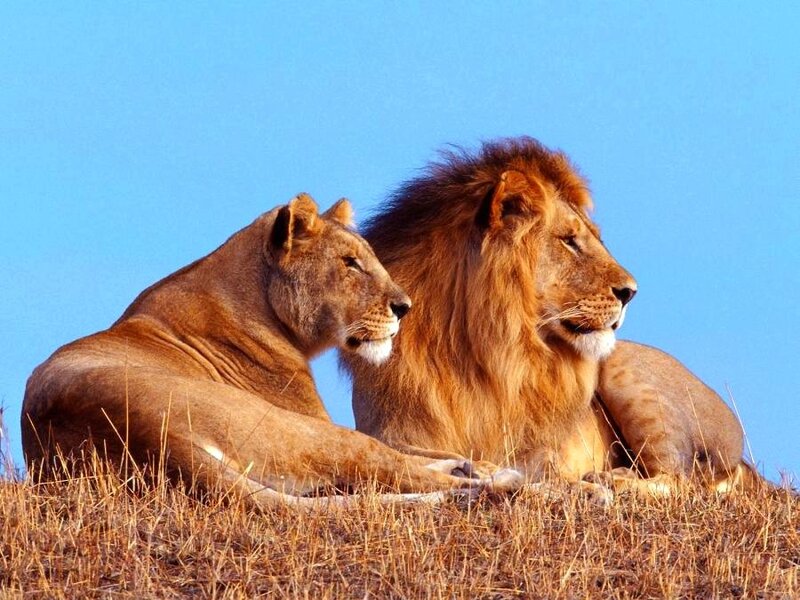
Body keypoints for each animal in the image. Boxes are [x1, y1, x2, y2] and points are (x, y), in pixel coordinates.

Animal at [21, 193, 523, 508]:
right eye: (350, 263)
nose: (405, 307)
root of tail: (149, 437)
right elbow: (400, 453)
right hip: (301, 431)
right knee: (387, 468)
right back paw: (500, 481)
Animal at [342, 137, 754, 494]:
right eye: (569, 241)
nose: (630, 292)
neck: (476, 351)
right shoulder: (386, 429)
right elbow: (403, 453)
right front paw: (469, 468)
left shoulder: (540, 449)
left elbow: (536, 466)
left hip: (626, 369)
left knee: (679, 480)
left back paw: (611, 480)